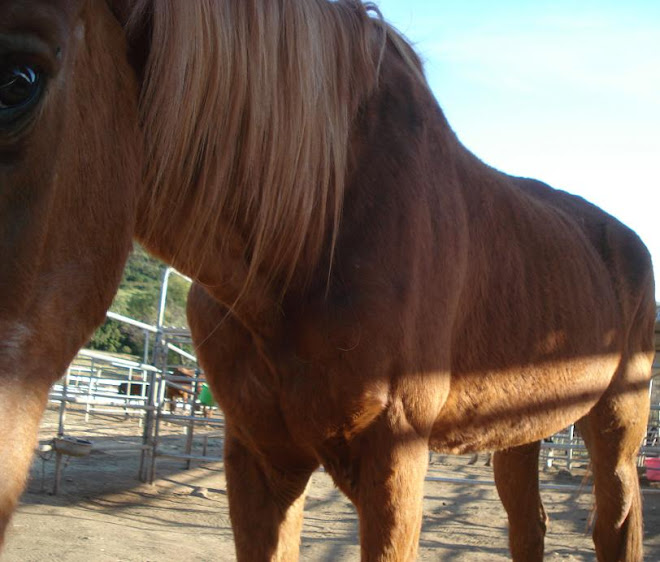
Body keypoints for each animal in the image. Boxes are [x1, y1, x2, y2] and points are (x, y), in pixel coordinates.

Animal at [0, 1, 656, 560]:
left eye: (18, 81)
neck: (318, 224)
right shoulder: (259, 462)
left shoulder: (393, 461)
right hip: (521, 429)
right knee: (528, 525)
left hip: (618, 422)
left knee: (615, 526)